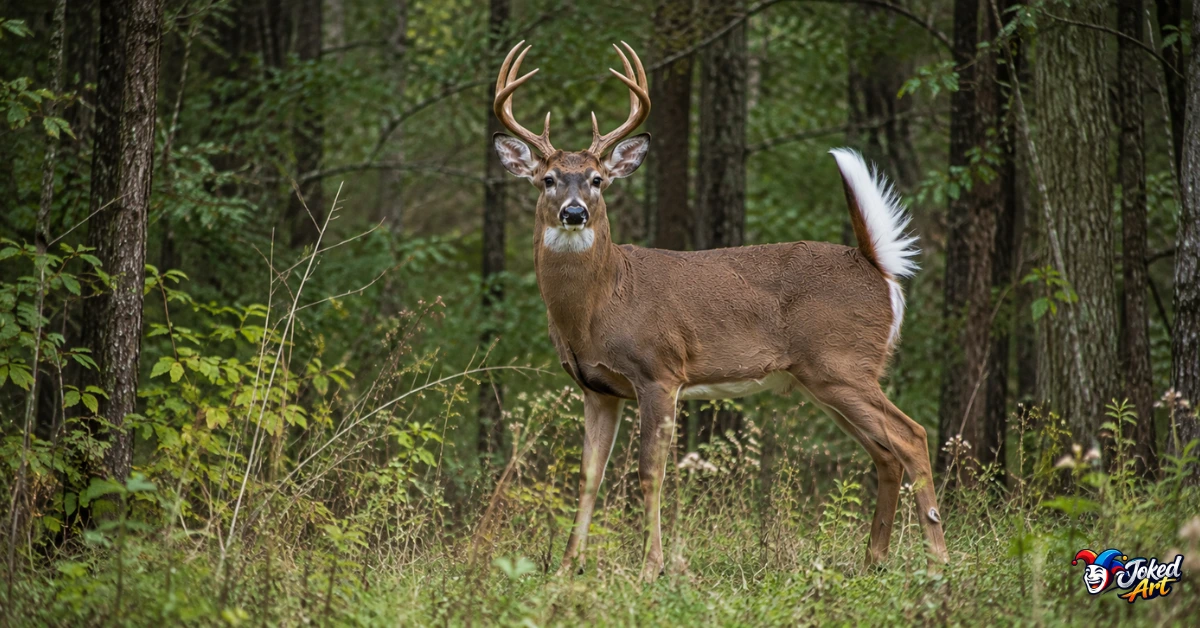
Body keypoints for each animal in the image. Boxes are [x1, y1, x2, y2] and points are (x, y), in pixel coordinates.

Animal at [491, 40, 950, 582]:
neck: (600, 306)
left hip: (842, 364)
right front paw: (566, 569)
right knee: (885, 453)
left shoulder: (660, 371)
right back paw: (873, 560)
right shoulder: (597, 388)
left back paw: (939, 561)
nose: (575, 212)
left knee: (912, 436)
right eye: (547, 180)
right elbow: (588, 476)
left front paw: (650, 568)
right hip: (825, 379)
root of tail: (877, 267)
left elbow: (650, 473)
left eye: (598, 180)